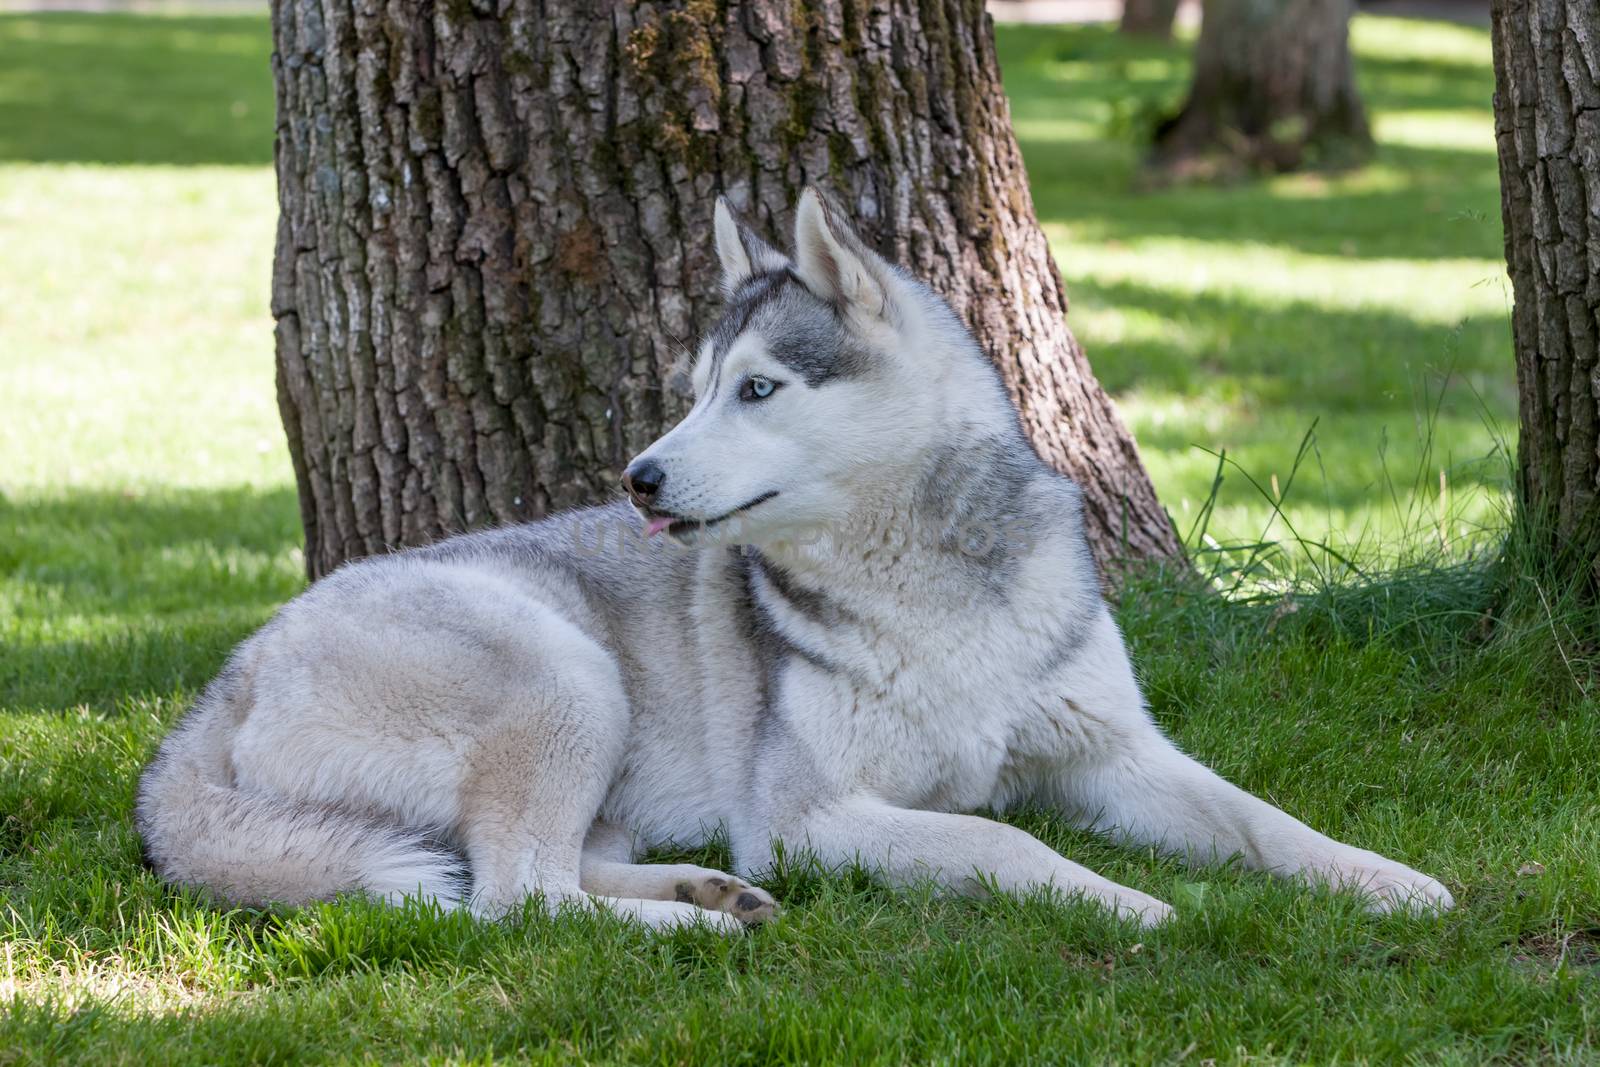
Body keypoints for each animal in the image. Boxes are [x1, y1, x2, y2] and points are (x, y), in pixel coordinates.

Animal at [137, 187, 1452, 927]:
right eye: (692, 389)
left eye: (757, 388)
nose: (639, 476)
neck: (929, 592)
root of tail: (224, 681)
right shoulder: (810, 815)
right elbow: (1004, 839)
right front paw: (1125, 900)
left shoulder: (1118, 754)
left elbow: (1261, 818)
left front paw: (1385, 879)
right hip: (566, 673)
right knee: (517, 899)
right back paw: (699, 923)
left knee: (556, 871)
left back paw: (706, 889)